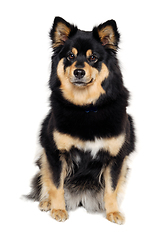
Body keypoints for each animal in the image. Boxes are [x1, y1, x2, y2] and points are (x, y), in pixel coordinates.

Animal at [27, 17, 135, 225]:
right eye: (70, 56)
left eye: (93, 58)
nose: (78, 72)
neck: (86, 107)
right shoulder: (55, 152)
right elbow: (56, 184)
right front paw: (58, 209)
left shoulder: (116, 157)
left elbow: (111, 188)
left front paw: (113, 212)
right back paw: (47, 202)